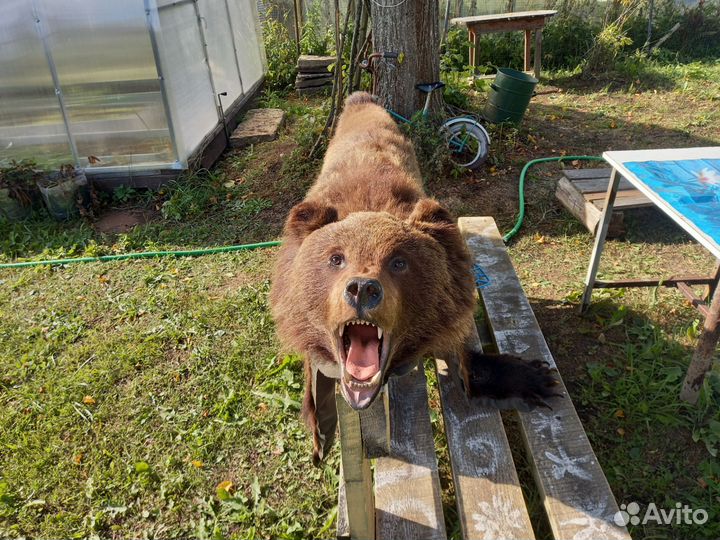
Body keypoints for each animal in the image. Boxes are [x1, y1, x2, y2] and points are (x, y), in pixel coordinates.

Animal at [270, 91, 560, 464]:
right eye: (336, 258)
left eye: (398, 262)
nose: (362, 289)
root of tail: (361, 98)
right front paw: (319, 430)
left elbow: (463, 348)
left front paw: (532, 378)